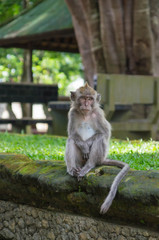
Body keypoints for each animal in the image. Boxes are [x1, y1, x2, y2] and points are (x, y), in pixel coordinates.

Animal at [64, 83, 129, 214]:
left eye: (90, 99)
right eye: (83, 98)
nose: (86, 104)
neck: (85, 114)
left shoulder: (98, 114)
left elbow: (104, 133)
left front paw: (86, 145)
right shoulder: (72, 113)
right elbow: (72, 134)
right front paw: (83, 146)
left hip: (100, 156)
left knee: (99, 138)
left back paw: (89, 166)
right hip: (79, 161)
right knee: (71, 140)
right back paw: (72, 169)